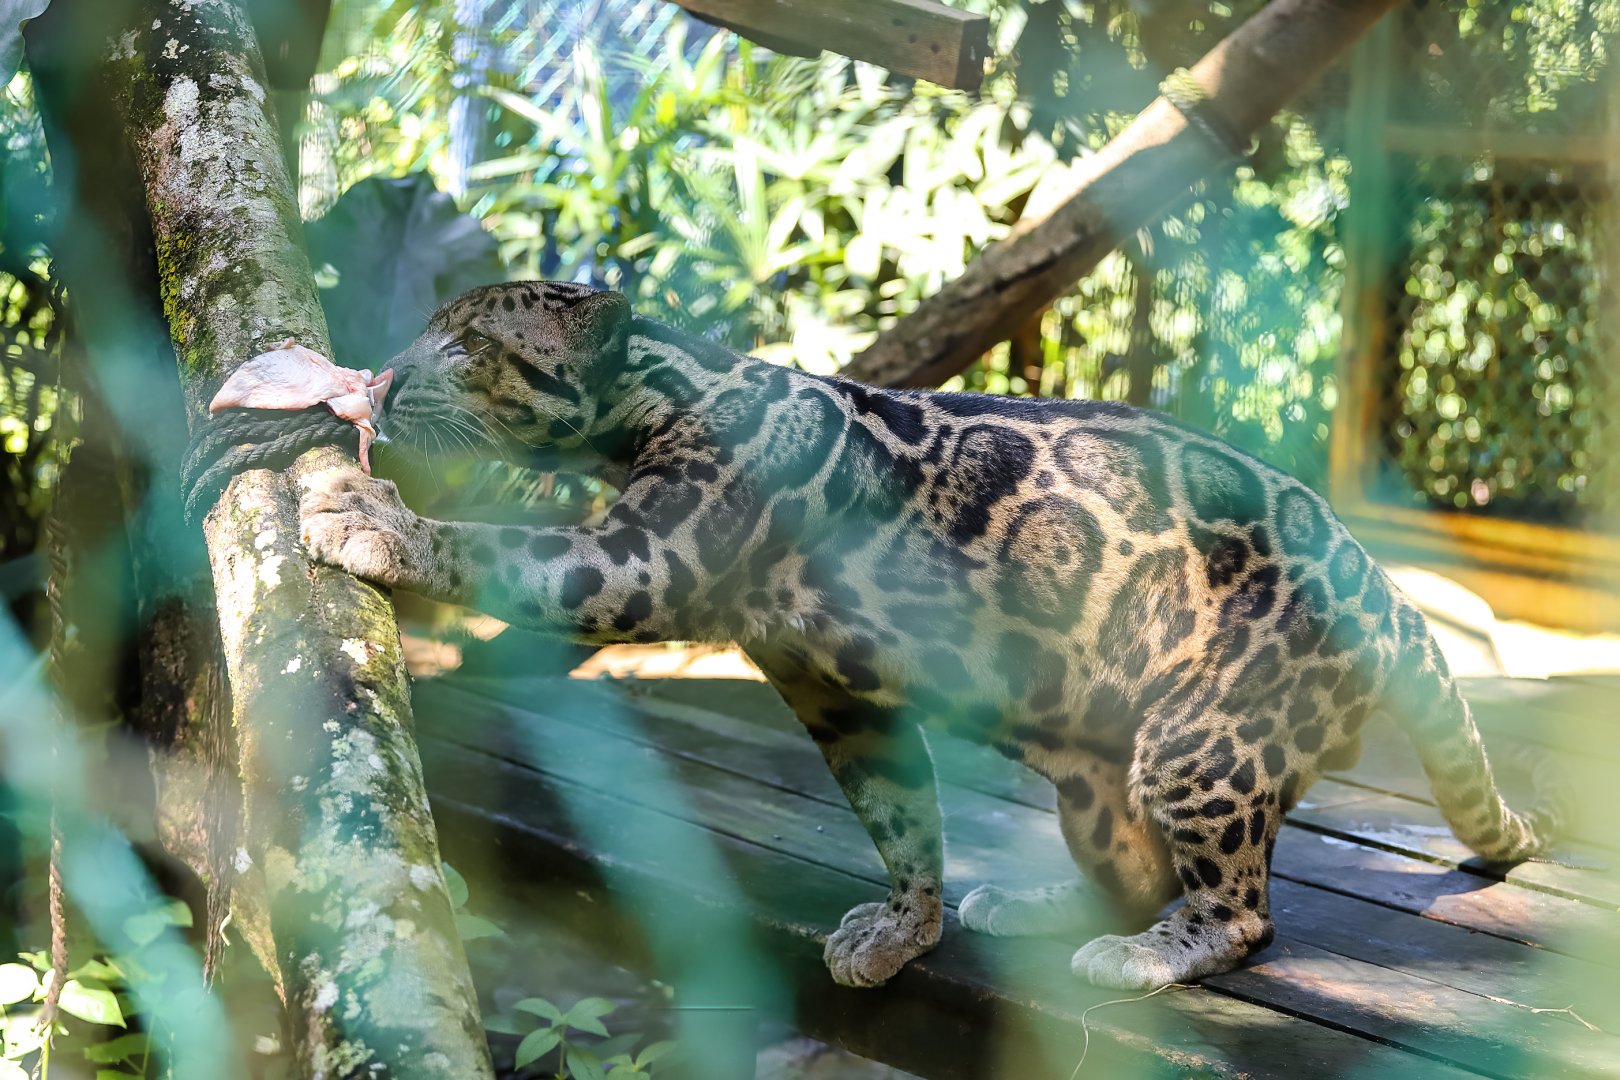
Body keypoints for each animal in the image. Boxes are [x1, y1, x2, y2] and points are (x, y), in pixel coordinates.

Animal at [296, 280, 1564, 991]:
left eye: (467, 344)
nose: (386, 381)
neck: (664, 390)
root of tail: (1379, 584)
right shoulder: (840, 695)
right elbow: (900, 811)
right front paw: (907, 925)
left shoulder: (644, 557)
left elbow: (510, 552)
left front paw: (375, 522)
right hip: (1101, 781)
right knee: (1137, 866)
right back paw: (1047, 909)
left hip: (1201, 745)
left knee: (1245, 908)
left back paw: (1155, 953)